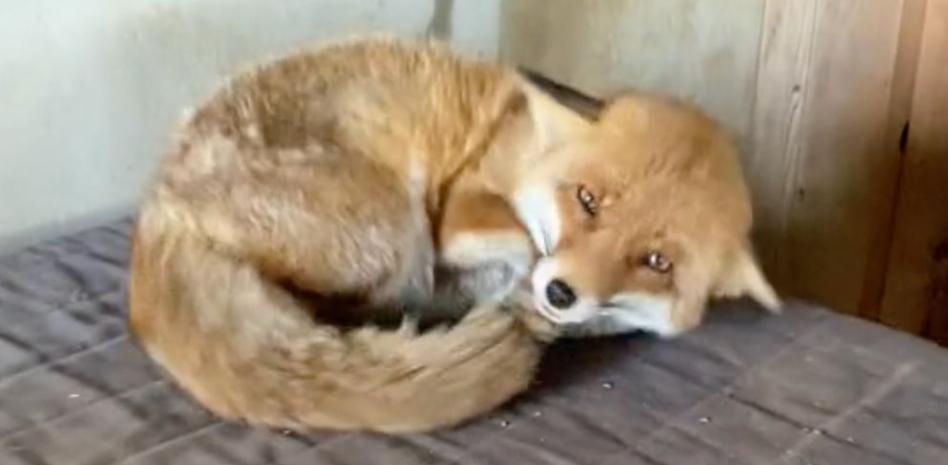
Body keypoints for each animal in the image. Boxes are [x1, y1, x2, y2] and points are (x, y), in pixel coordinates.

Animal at [128, 35, 779, 434]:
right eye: (588, 200)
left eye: (656, 261)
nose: (562, 292)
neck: (524, 147)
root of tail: (159, 205)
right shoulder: (462, 211)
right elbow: (516, 243)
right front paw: (516, 291)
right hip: (396, 232)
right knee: (360, 306)